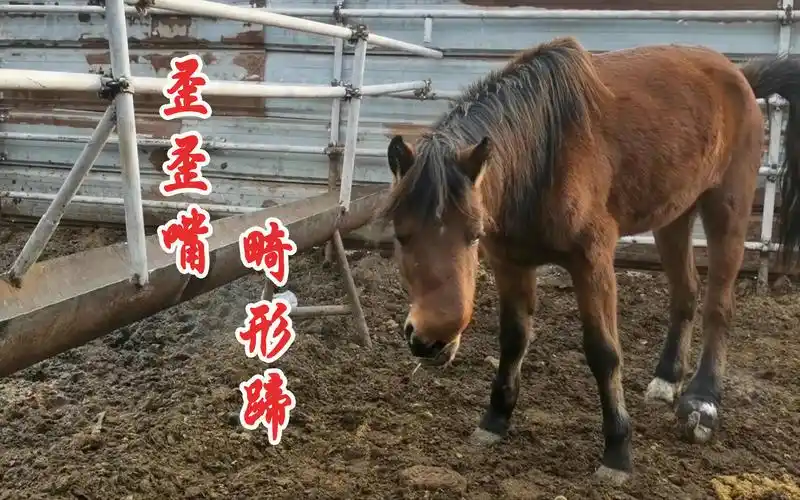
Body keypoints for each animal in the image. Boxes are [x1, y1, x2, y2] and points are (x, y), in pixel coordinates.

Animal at [379, 37, 800, 484]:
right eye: (400, 235)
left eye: (473, 235)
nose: (432, 340)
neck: (543, 157)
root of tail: (740, 75)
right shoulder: (510, 262)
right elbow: (513, 339)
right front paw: (494, 420)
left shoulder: (592, 262)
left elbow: (603, 352)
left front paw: (617, 452)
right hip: (674, 214)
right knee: (685, 292)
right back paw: (667, 379)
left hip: (727, 207)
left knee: (719, 305)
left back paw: (702, 402)